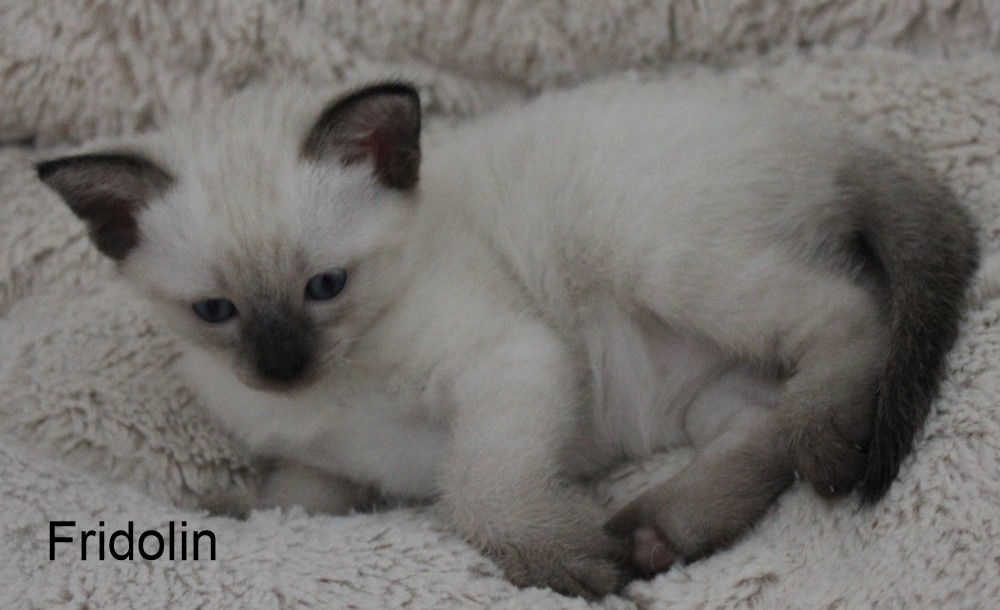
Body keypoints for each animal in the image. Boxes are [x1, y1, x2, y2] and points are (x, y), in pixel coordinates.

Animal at [36, 76, 979, 599]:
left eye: (325, 286)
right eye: (215, 311)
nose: (280, 366)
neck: (331, 395)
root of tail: (827, 130)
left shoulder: (508, 365)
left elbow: (476, 493)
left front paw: (560, 562)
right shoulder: (319, 470)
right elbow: (282, 509)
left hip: (657, 253)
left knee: (849, 315)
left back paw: (813, 443)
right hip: (705, 384)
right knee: (760, 426)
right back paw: (656, 535)